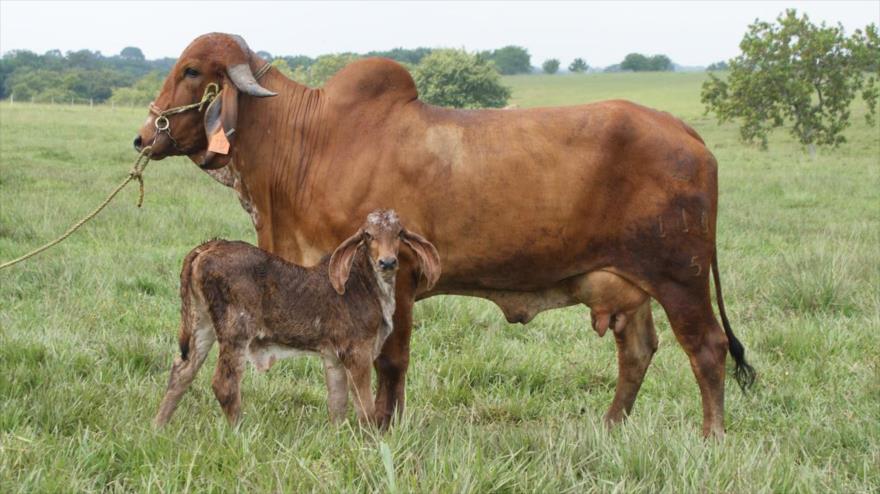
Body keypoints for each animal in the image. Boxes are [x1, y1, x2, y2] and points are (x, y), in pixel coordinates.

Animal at [135, 33, 755, 437]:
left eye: (191, 72)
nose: (144, 136)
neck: (310, 140)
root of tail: (682, 129)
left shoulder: (400, 276)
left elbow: (390, 361)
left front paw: (382, 428)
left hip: (680, 277)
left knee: (706, 348)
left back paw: (712, 437)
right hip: (630, 286)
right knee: (639, 352)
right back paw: (609, 426)